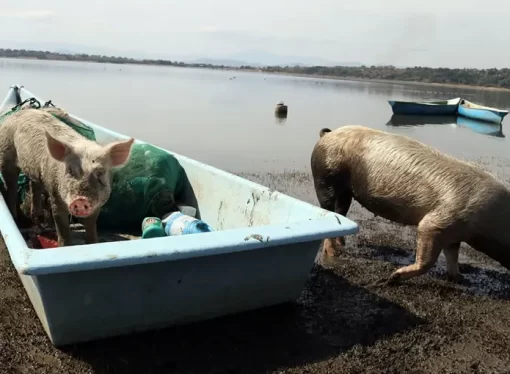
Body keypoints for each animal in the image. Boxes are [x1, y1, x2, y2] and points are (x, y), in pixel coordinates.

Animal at [0, 108, 134, 245]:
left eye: (100, 172)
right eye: (70, 170)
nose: (81, 199)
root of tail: (20, 112)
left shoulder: (98, 205)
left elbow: (91, 226)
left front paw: (92, 243)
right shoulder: (55, 195)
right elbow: (62, 228)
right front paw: (65, 245)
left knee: (34, 186)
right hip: (6, 155)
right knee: (11, 187)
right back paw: (15, 218)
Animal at [308, 125, 510, 284]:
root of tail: (327, 135)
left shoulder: (455, 233)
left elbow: (452, 255)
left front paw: (460, 279)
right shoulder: (438, 222)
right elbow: (427, 258)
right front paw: (393, 278)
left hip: (346, 191)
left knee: (341, 211)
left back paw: (342, 243)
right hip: (324, 177)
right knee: (327, 209)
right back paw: (334, 253)